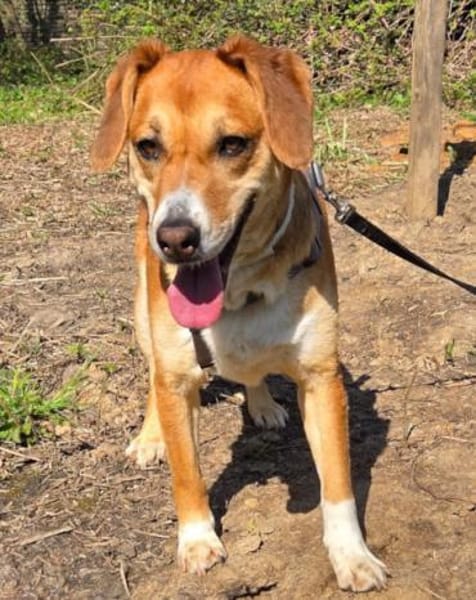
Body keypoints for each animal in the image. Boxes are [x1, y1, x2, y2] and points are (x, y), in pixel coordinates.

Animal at [91, 35, 387, 591]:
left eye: (232, 144)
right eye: (147, 147)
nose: (174, 239)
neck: (240, 289)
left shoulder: (321, 377)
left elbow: (337, 483)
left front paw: (351, 554)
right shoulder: (178, 375)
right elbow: (187, 473)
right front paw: (197, 539)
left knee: (253, 373)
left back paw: (263, 402)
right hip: (143, 317)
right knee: (152, 374)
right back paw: (150, 435)